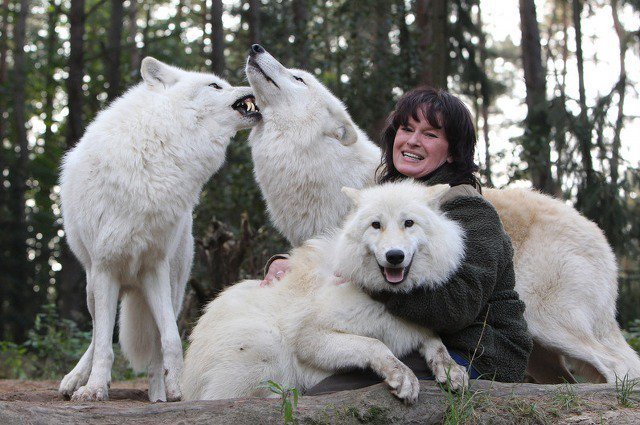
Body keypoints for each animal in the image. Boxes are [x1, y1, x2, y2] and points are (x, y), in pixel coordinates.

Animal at [57, 57, 262, 400]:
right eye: (215, 85)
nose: (250, 85)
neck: (159, 148)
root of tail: (130, 287)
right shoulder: (105, 268)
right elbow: (103, 345)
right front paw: (94, 388)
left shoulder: (154, 267)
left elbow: (171, 339)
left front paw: (177, 387)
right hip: (92, 288)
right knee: (97, 333)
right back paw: (76, 379)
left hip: (174, 284)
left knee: (154, 345)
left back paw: (158, 394)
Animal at [180, 181, 470, 400]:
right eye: (376, 225)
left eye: (409, 223)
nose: (394, 256)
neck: (386, 298)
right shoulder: (309, 337)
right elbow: (375, 344)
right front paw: (402, 375)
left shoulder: (416, 327)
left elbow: (436, 342)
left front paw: (451, 369)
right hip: (266, 342)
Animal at [245, 44, 640, 382]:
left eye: (298, 78)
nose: (255, 48)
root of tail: (599, 234)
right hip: (543, 348)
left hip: (552, 323)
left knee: (619, 365)